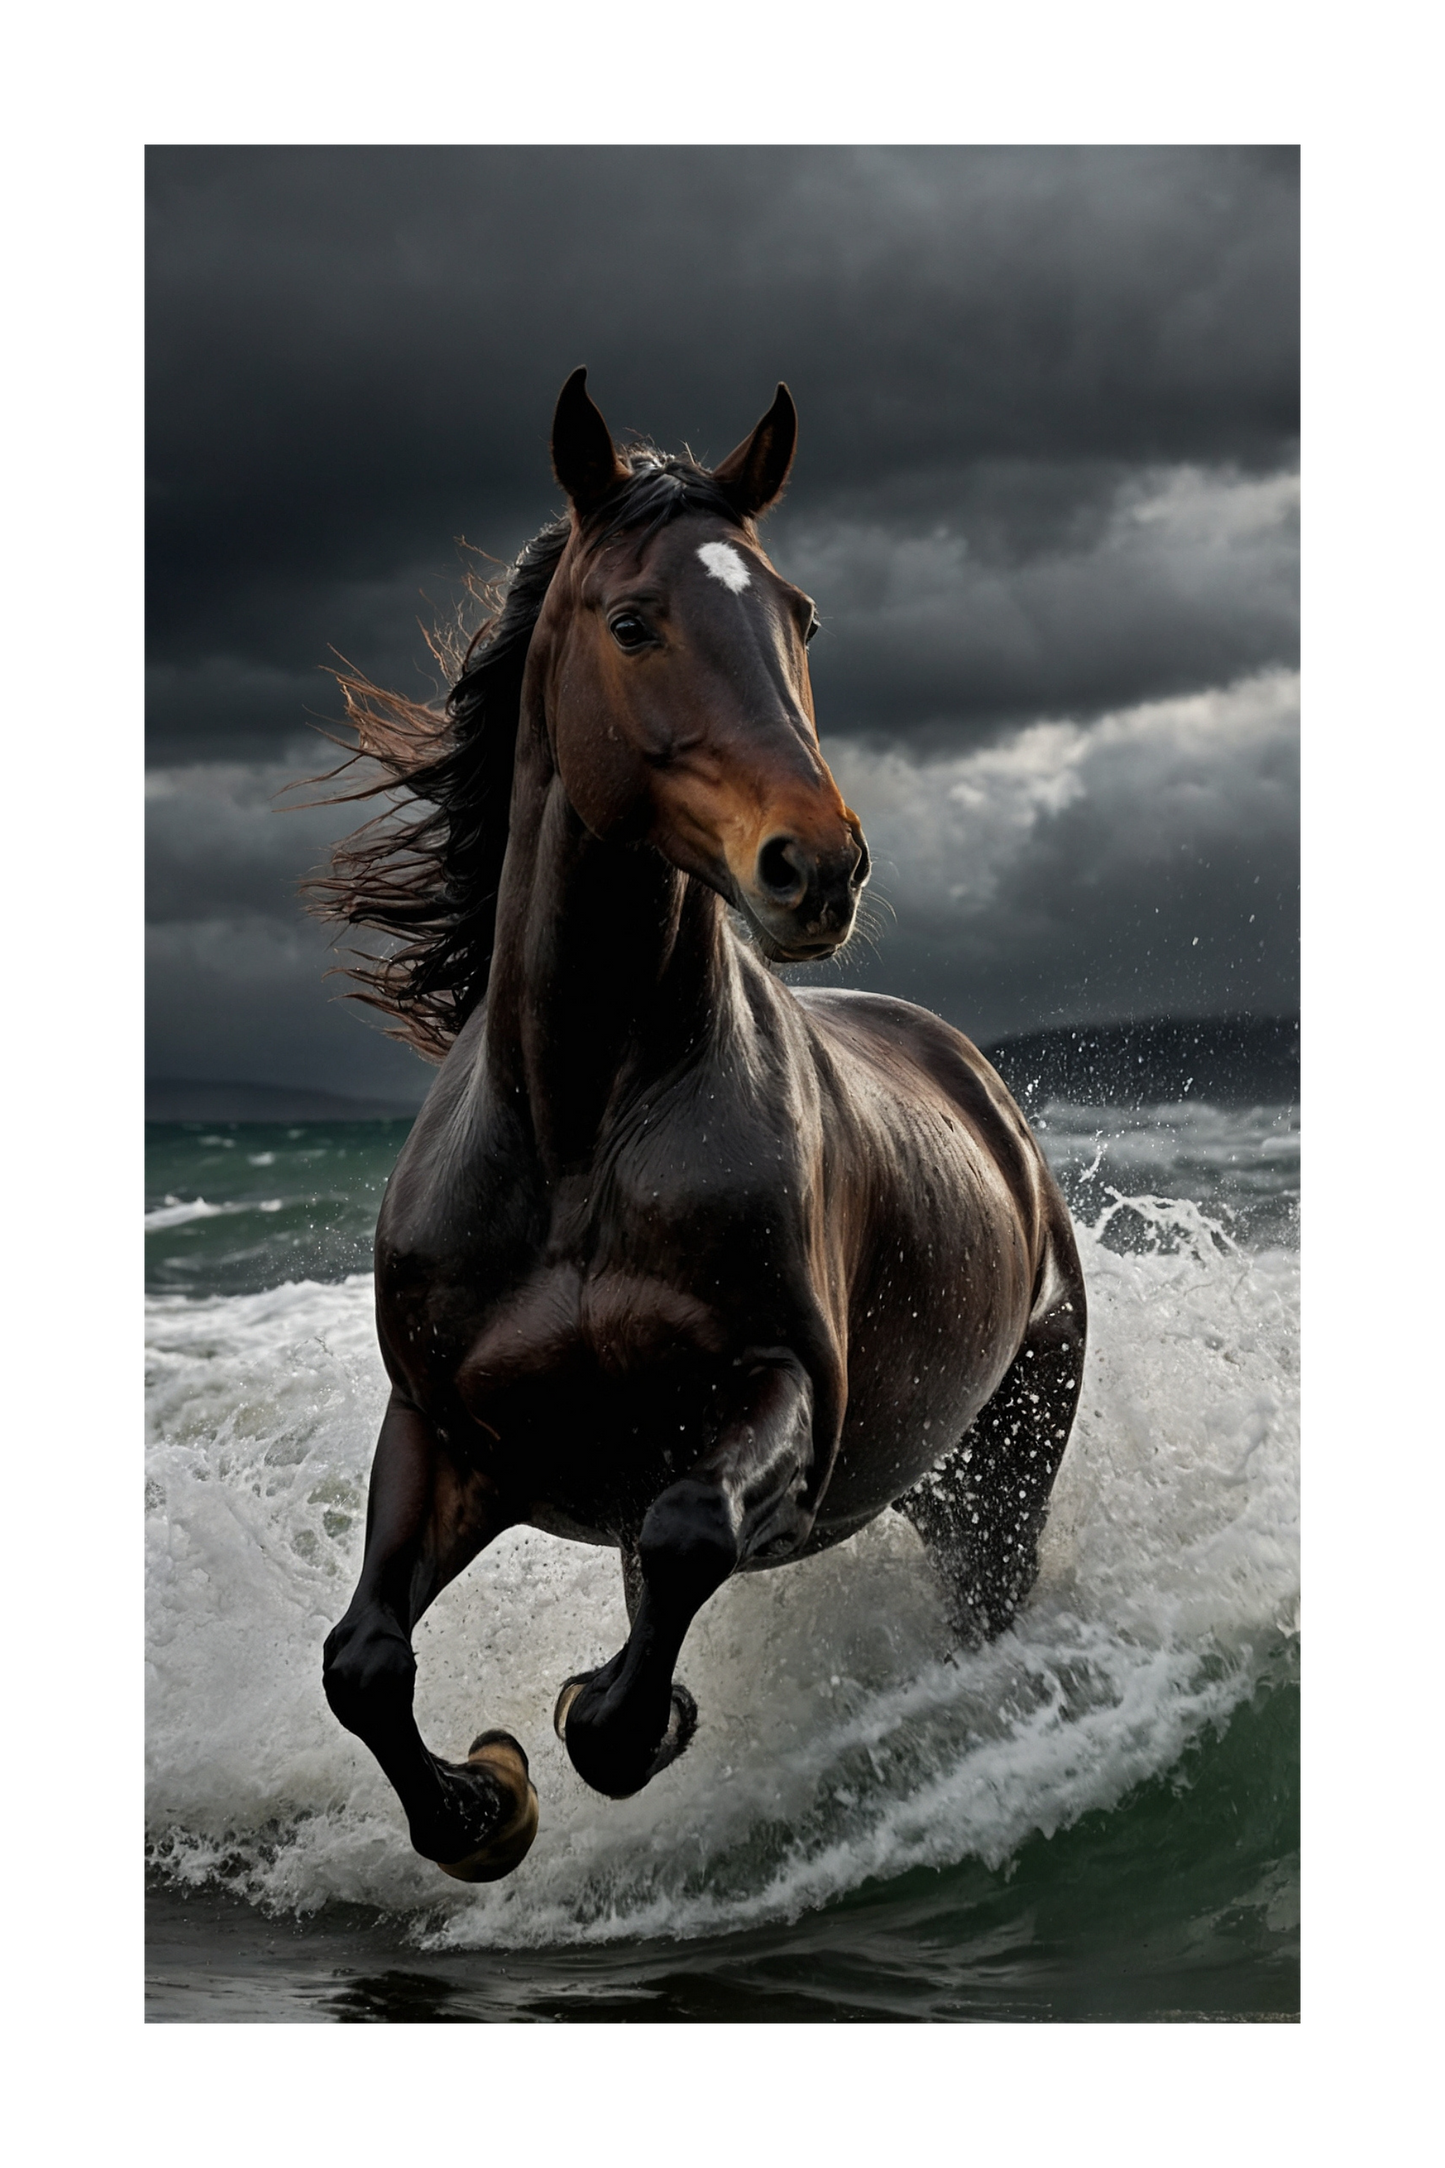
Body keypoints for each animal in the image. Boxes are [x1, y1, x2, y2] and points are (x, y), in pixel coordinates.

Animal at [314, 371, 1086, 1882]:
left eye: (798, 617)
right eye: (632, 620)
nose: (818, 866)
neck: (577, 1135)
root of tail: (982, 1093)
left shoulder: (778, 1401)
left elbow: (680, 1541)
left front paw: (613, 1717)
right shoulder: (444, 1435)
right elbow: (361, 1660)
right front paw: (486, 1804)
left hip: (996, 1477)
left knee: (974, 1596)